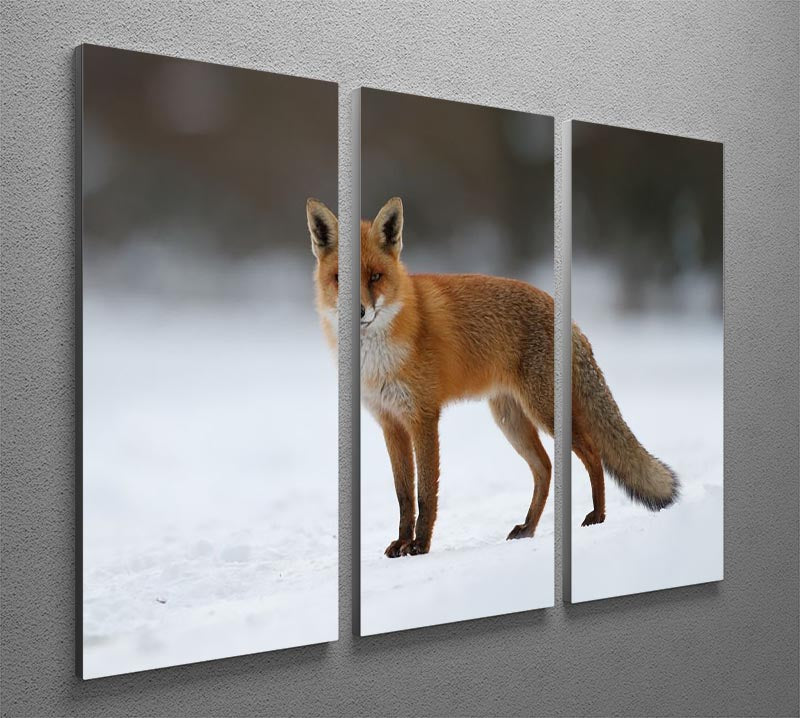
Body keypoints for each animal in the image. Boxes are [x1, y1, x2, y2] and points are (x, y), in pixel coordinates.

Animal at [306, 196, 678, 558]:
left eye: (375, 277)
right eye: (340, 278)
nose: (359, 312)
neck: (377, 359)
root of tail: (565, 315)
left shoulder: (423, 416)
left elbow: (426, 492)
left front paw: (420, 546)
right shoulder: (390, 422)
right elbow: (404, 495)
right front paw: (401, 543)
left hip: (544, 411)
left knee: (591, 453)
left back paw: (597, 516)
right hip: (509, 418)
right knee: (545, 467)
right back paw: (528, 528)